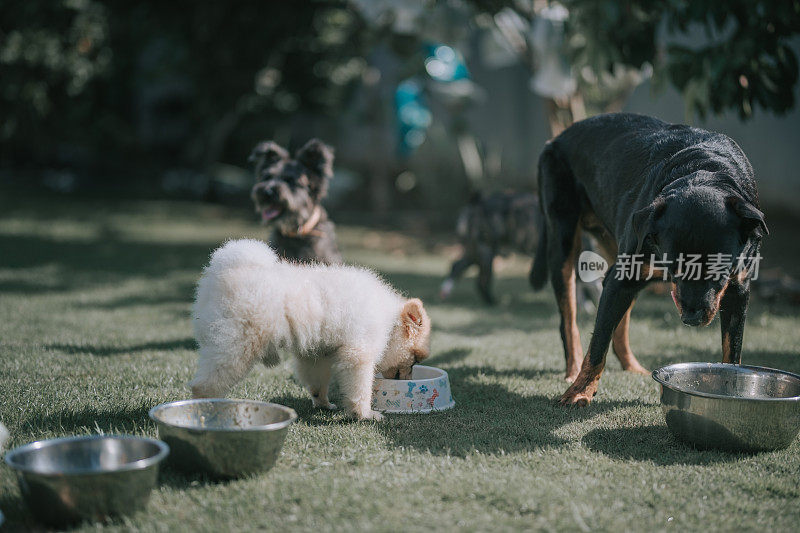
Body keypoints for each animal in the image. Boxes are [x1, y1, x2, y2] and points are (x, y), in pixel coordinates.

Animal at [190, 240, 432, 420]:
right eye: (414, 360)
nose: (407, 380)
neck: (388, 318)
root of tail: (222, 270)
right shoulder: (358, 353)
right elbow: (360, 389)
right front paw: (365, 414)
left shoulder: (317, 354)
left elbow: (317, 382)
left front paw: (323, 403)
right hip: (239, 343)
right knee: (204, 385)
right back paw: (207, 409)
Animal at [532, 111, 768, 404]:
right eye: (674, 267)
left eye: (719, 270)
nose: (692, 318)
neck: (704, 171)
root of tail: (558, 137)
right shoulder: (620, 278)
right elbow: (597, 344)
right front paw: (580, 392)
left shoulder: (738, 289)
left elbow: (732, 352)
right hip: (563, 241)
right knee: (569, 320)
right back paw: (573, 369)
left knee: (619, 325)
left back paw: (631, 366)